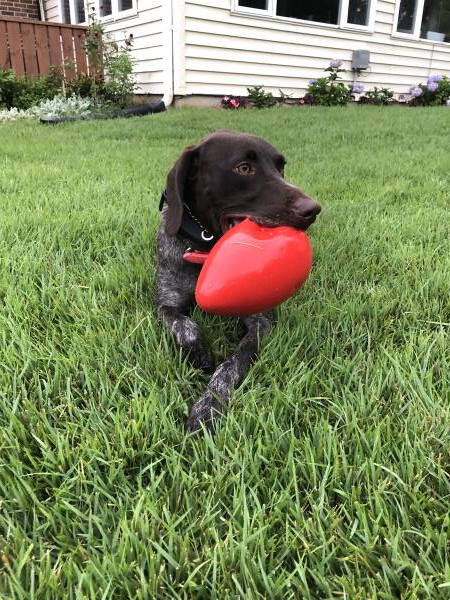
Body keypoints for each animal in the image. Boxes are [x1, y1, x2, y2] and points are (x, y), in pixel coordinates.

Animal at [157, 130, 320, 432]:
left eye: (281, 168)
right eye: (243, 168)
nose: (313, 209)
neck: (205, 249)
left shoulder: (261, 322)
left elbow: (232, 364)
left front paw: (208, 406)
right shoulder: (166, 304)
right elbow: (185, 327)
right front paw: (200, 354)